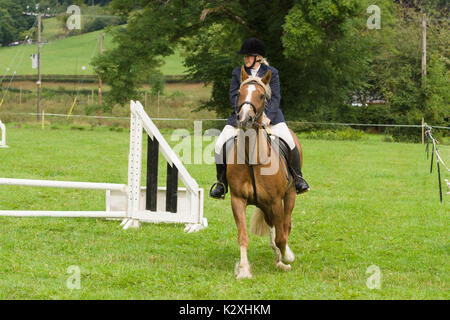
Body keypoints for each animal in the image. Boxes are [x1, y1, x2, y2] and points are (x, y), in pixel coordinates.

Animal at [227, 66, 304, 278]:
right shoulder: (238, 200)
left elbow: (281, 236)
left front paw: (288, 257)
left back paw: (282, 259)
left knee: (285, 225)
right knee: (273, 227)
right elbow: (243, 236)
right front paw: (244, 270)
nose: (244, 119)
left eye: (262, 95)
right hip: (264, 205)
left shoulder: (276, 201)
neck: (252, 159)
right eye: (239, 93)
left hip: (289, 195)